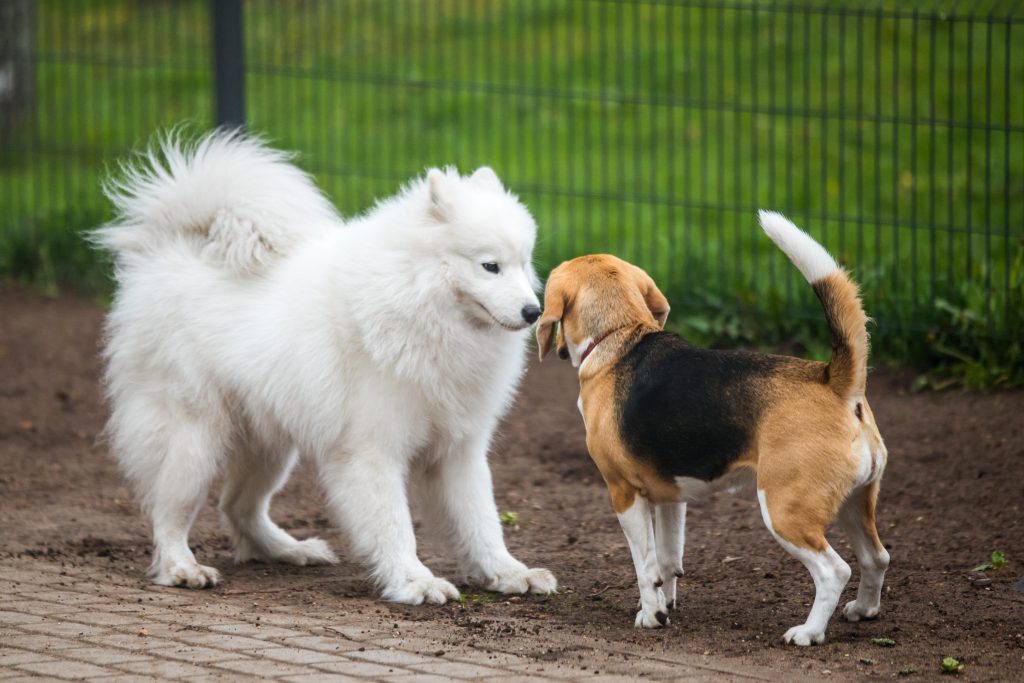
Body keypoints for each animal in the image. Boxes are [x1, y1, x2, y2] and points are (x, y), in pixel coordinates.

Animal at [92, 132, 557, 602]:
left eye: (523, 263)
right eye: (490, 266)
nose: (534, 311)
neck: (416, 300)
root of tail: (175, 247)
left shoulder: (458, 451)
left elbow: (482, 522)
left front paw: (508, 573)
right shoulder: (372, 452)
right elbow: (396, 526)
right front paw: (415, 581)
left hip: (269, 445)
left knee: (238, 507)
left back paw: (288, 550)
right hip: (194, 440)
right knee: (170, 513)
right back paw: (182, 568)